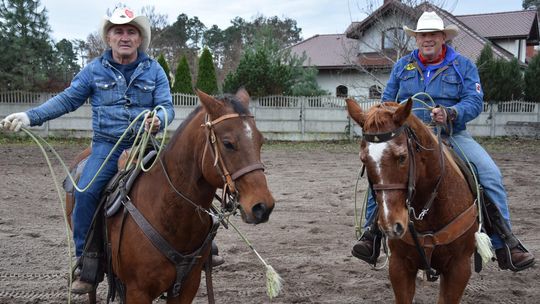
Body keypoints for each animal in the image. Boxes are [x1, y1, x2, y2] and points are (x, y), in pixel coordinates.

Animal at [67, 88, 276, 302]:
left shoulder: (188, 286)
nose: (263, 206)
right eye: (228, 143)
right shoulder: (137, 291)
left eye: (260, 141)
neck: (168, 209)